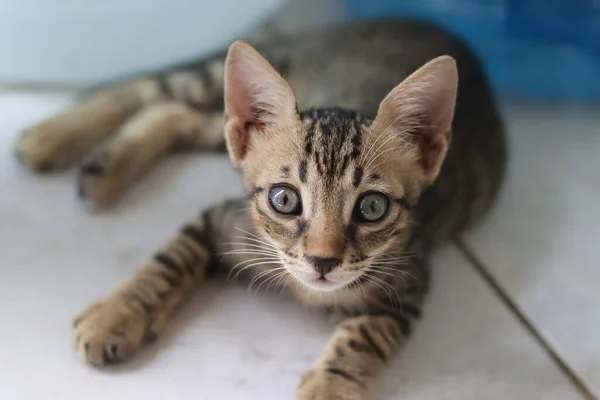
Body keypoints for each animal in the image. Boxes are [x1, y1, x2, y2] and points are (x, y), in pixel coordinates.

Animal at [14, 19, 504, 400]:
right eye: (284, 199)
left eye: (372, 206)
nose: (323, 261)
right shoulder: (223, 220)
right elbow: (166, 265)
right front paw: (118, 315)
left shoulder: (411, 279)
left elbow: (364, 336)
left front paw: (330, 387)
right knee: (154, 91)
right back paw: (50, 137)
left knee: (175, 111)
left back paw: (97, 164)